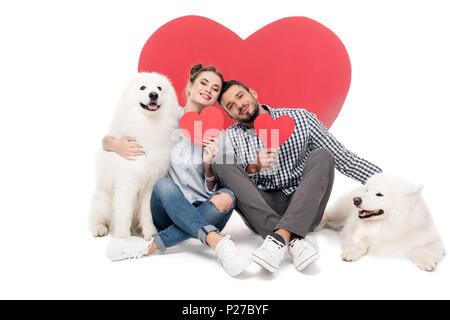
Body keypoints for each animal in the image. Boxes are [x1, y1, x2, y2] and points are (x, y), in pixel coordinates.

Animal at [89, 72, 179, 238]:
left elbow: (148, 213)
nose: (153, 94)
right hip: (103, 200)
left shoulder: (151, 185)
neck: (148, 125)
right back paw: (101, 229)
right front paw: (123, 237)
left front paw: (150, 234)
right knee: (97, 219)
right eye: (143, 87)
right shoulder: (127, 183)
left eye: (159, 88)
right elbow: (124, 213)